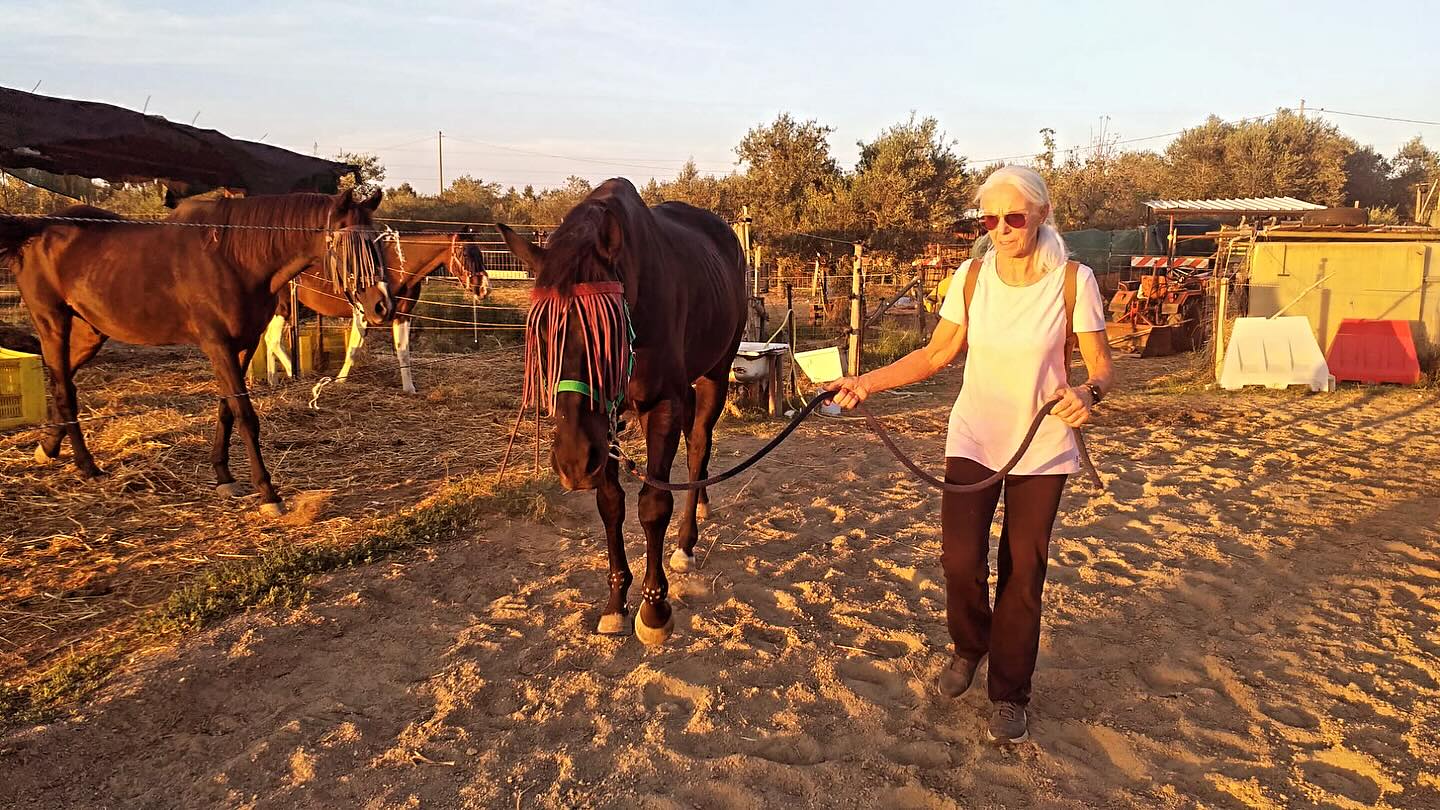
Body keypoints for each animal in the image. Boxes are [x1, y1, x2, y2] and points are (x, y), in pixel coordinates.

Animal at [0, 190, 392, 516]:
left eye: (376, 244)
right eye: (353, 246)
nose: (381, 307)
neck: (235, 258)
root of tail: (39, 226)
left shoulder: (243, 345)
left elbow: (226, 409)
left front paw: (224, 477)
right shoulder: (218, 345)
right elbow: (245, 415)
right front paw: (268, 493)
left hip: (89, 332)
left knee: (61, 381)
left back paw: (49, 448)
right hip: (52, 323)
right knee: (64, 389)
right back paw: (87, 466)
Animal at [263, 227, 492, 393]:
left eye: (480, 253)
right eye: (465, 253)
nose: (483, 288)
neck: (392, 269)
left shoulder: (402, 315)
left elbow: (403, 352)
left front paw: (409, 388)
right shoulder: (363, 314)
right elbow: (353, 350)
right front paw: (339, 381)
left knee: (270, 338)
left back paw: (273, 379)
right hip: (284, 307)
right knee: (272, 338)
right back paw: (293, 373)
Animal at [498, 177, 746, 644]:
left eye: (609, 330)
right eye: (540, 332)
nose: (573, 463)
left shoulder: (662, 405)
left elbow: (653, 504)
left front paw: (654, 609)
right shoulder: (604, 425)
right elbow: (611, 503)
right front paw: (616, 602)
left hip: (716, 373)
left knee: (698, 446)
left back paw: (686, 543)